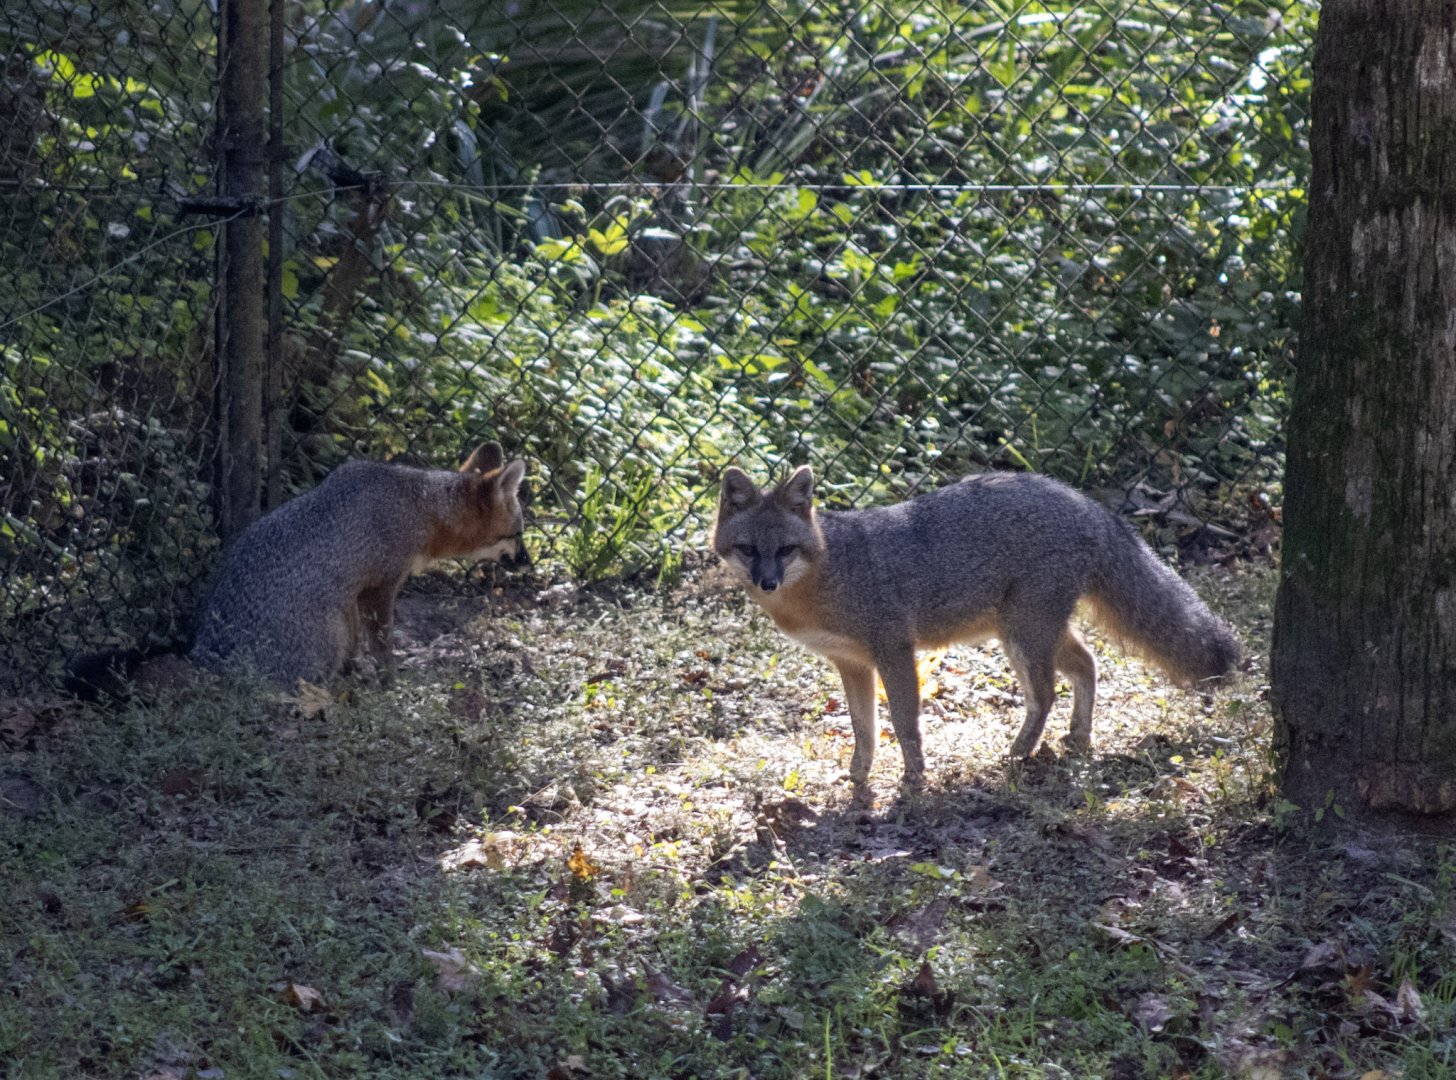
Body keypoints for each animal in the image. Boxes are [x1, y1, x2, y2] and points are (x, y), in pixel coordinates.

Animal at [66, 441, 529, 700]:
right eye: (519, 534)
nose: (528, 563)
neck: (419, 504)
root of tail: (211, 658)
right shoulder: (379, 588)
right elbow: (381, 643)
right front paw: (390, 681)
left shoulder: (356, 595)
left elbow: (362, 646)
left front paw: (362, 673)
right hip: (328, 623)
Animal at [712, 465, 1240, 797]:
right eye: (748, 549)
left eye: (785, 550)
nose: (766, 582)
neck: (829, 571)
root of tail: (1081, 500)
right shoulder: (852, 664)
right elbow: (865, 728)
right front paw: (859, 777)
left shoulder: (895, 650)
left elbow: (905, 724)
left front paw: (913, 782)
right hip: (1032, 629)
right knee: (1087, 665)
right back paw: (1078, 739)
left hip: (1022, 635)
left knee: (1046, 692)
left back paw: (1020, 753)